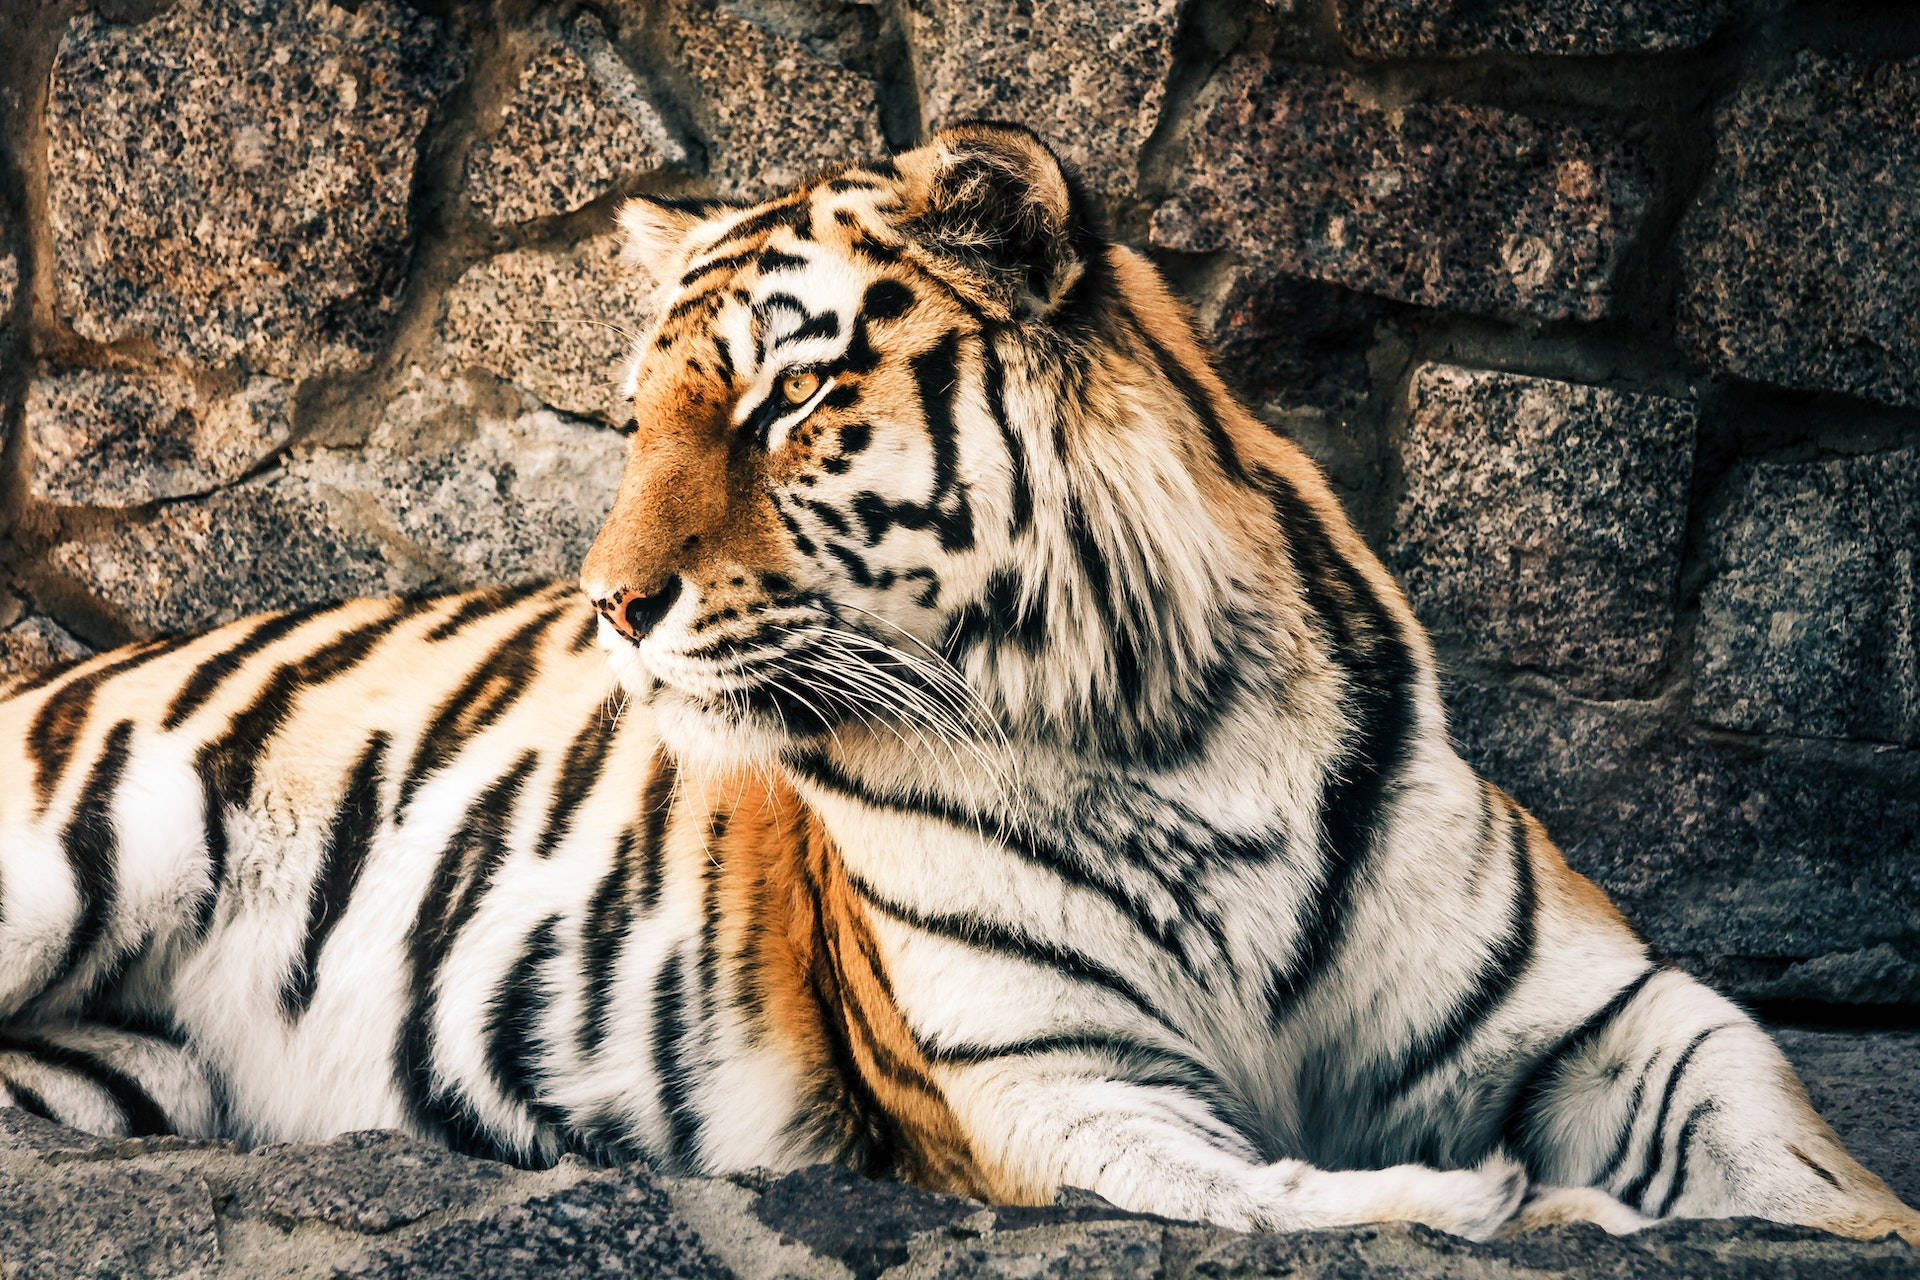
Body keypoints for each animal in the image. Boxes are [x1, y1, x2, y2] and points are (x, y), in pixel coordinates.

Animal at [1, 123, 1915, 1244]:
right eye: (634, 420)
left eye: (783, 402)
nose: (610, 606)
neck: (1164, 734)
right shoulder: (1045, 1082)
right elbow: (1281, 1195)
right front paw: (1512, 1204)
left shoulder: (1607, 1008)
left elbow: (1797, 1142)